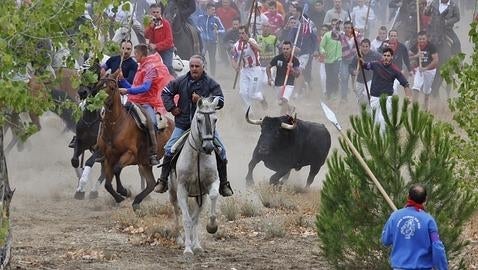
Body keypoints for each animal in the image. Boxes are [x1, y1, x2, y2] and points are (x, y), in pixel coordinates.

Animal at [95, 77, 174, 210]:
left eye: (112, 87)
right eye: (100, 85)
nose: (100, 99)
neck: (117, 124)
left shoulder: (130, 154)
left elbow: (117, 169)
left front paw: (124, 191)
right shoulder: (108, 158)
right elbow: (107, 184)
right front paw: (119, 197)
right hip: (145, 163)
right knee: (151, 184)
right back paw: (136, 201)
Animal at [170, 96, 222, 255]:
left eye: (215, 119)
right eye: (199, 120)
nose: (209, 147)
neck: (198, 154)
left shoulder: (211, 184)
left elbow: (213, 196)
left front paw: (212, 226)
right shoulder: (182, 189)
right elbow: (186, 219)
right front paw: (187, 249)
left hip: (199, 197)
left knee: (195, 218)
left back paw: (196, 244)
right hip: (173, 193)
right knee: (177, 212)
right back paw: (180, 239)